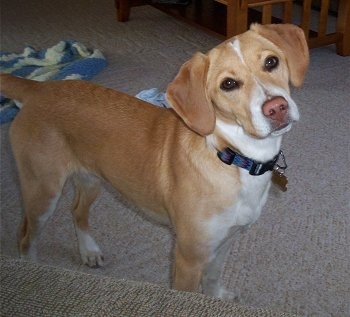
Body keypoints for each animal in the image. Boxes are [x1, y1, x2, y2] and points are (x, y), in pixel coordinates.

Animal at [0, 24, 308, 296]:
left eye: (271, 62)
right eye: (228, 84)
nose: (276, 108)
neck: (232, 157)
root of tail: (39, 89)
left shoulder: (226, 241)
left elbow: (212, 280)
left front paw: (216, 298)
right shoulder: (188, 257)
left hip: (91, 179)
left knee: (77, 210)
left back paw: (89, 251)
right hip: (42, 192)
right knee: (25, 237)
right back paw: (33, 269)